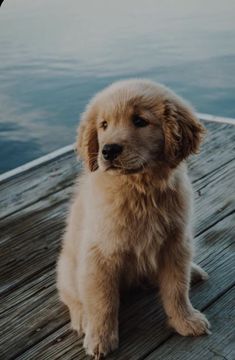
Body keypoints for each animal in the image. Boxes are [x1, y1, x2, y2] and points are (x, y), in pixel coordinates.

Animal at [56, 78, 209, 358]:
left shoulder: (175, 243)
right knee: (73, 296)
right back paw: (83, 320)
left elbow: (176, 289)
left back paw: (193, 271)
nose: (108, 151)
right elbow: (102, 302)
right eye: (104, 125)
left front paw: (185, 320)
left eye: (140, 121)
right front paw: (100, 338)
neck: (140, 189)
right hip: (68, 267)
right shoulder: (100, 255)